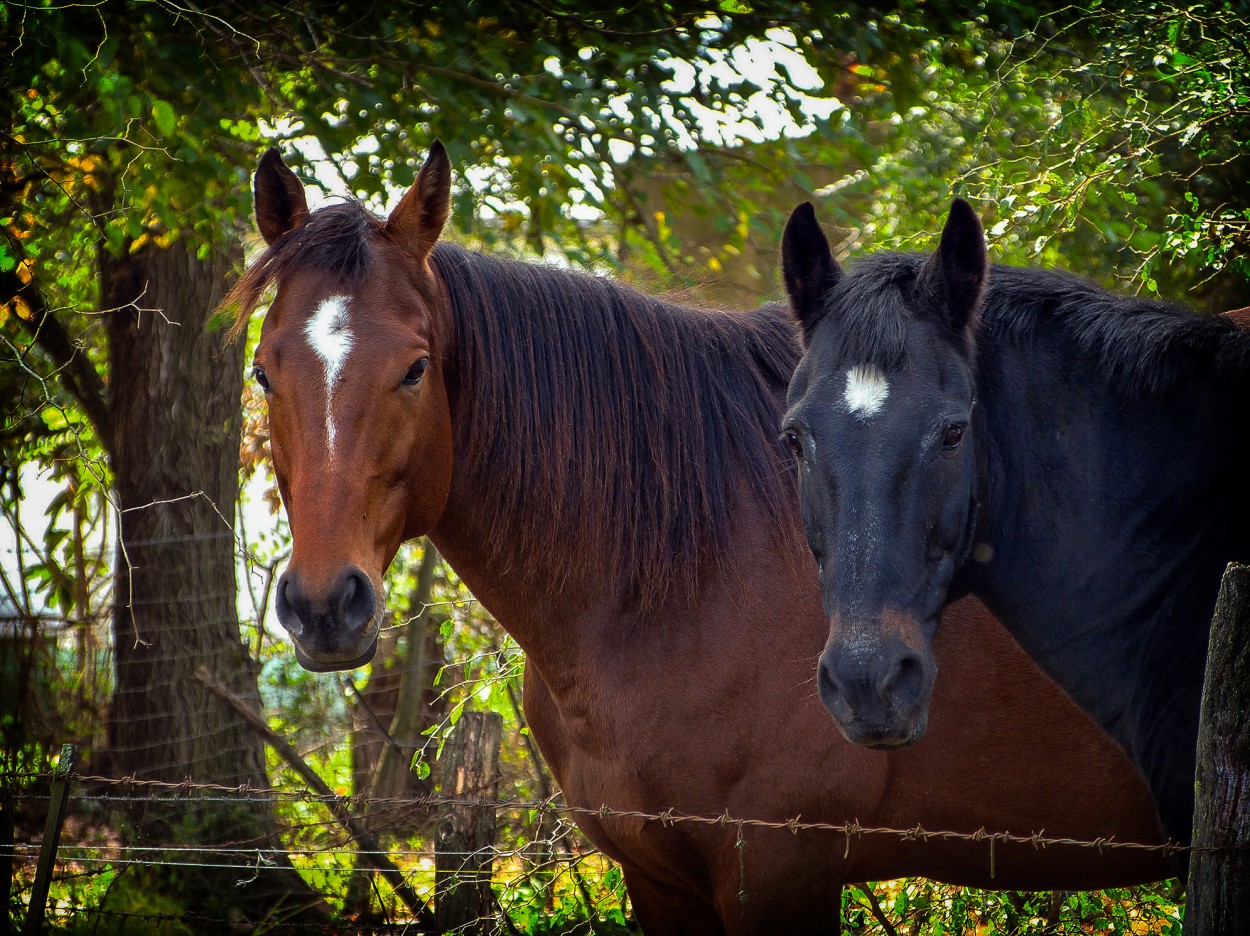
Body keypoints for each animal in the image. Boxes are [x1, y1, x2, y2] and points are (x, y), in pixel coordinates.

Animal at [227, 142, 1170, 929]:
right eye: (263, 371)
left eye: (415, 369)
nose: (324, 606)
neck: (676, 579)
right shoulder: (658, 876)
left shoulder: (779, 870)